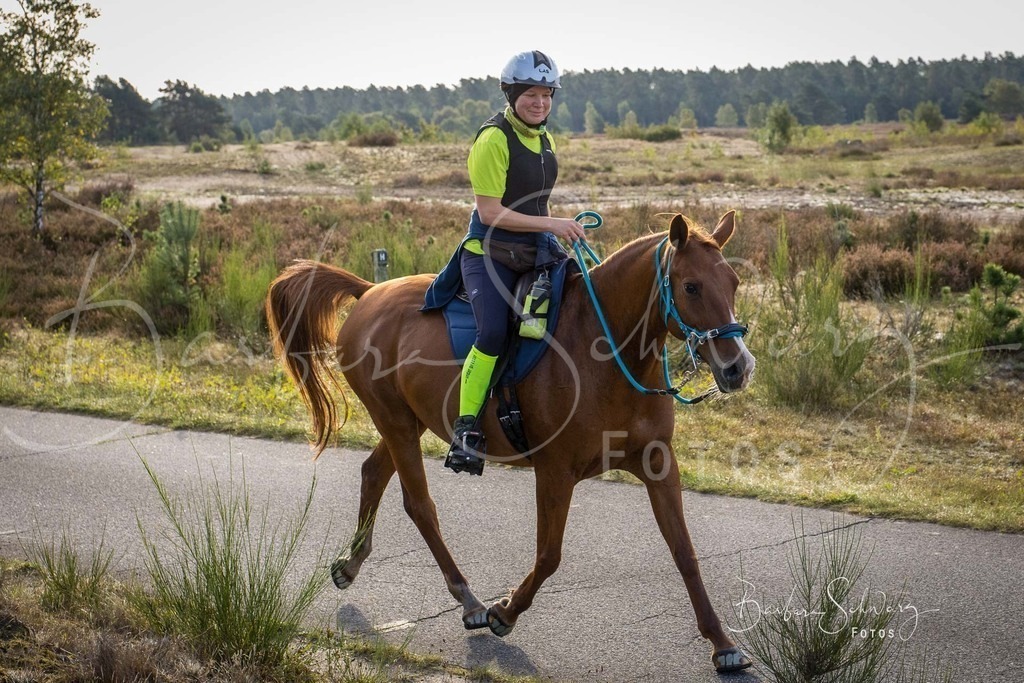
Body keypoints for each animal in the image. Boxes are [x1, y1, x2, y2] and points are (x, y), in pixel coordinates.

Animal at [265, 211, 756, 674]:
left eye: (733, 282)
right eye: (691, 287)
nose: (738, 367)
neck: (604, 348)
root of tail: (369, 291)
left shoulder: (658, 463)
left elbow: (685, 552)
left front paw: (723, 645)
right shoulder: (555, 472)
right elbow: (550, 554)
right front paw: (506, 612)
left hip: (408, 422)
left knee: (374, 473)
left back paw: (350, 566)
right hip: (397, 423)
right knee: (420, 504)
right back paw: (470, 601)